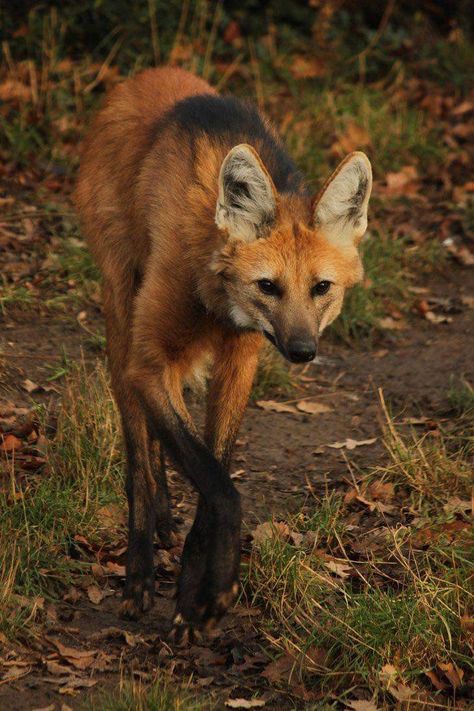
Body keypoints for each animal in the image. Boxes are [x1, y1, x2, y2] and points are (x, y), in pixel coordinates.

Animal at [75, 68, 370, 644]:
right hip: (121, 307)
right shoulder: (150, 362)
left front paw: (195, 597)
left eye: (321, 288)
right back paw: (139, 569)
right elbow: (219, 486)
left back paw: (165, 522)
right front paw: (212, 591)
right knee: (137, 450)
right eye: (268, 286)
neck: (215, 298)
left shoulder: (241, 359)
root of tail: (141, 77)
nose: (303, 350)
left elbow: (215, 474)